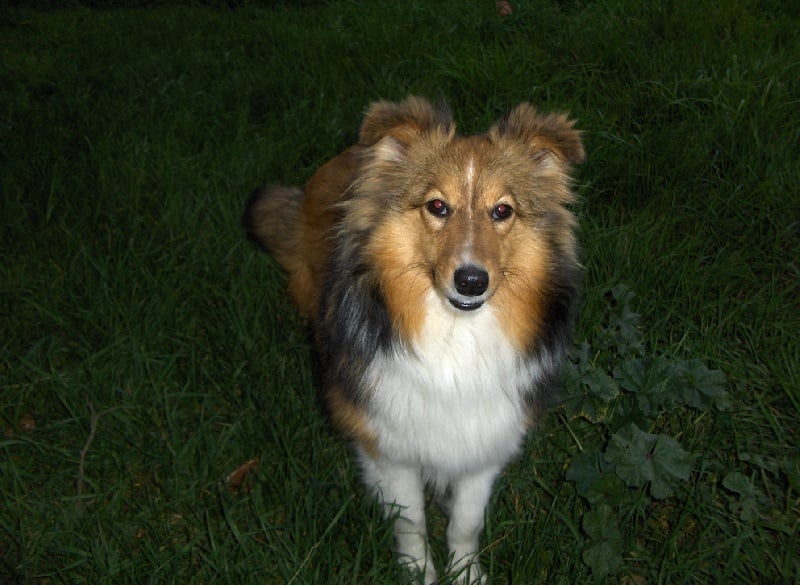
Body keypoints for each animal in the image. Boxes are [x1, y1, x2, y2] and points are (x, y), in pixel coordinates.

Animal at [242, 96, 584, 583]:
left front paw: (465, 573)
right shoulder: (389, 446)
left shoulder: (486, 442)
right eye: (437, 206)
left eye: (502, 211)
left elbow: (465, 521)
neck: (456, 338)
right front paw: (419, 571)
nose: (471, 281)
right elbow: (411, 521)